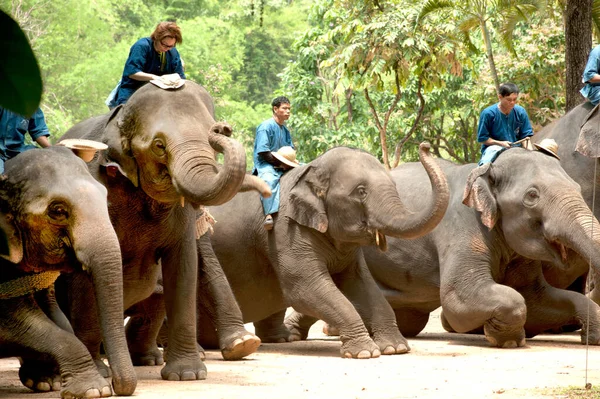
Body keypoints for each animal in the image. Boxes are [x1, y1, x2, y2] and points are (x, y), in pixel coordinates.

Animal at [0, 146, 136, 396]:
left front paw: (46, 382)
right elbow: (16, 324)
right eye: (58, 211)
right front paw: (94, 391)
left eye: (105, 198)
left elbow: (57, 317)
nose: (118, 386)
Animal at [58, 80, 270, 382]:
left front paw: (188, 375)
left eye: (210, 140)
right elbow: (85, 274)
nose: (222, 128)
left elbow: (183, 266)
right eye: (159, 146)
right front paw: (99, 374)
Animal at [178, 143, 450, 360]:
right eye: (361, 192)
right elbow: (304, 287)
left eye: (394, 185)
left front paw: (395, 348)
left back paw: (281, 339)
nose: (425, 145)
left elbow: (361, 285)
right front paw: (365, 352)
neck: (312, 171)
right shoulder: (285, 230)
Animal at [288, 148, 600, 350]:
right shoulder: (461, 226)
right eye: (532, 196)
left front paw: (592, 337)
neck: (487, 168)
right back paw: (304, 333)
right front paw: (504, 338)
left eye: (576, 187)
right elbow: (460, 296)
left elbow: (535, 299)